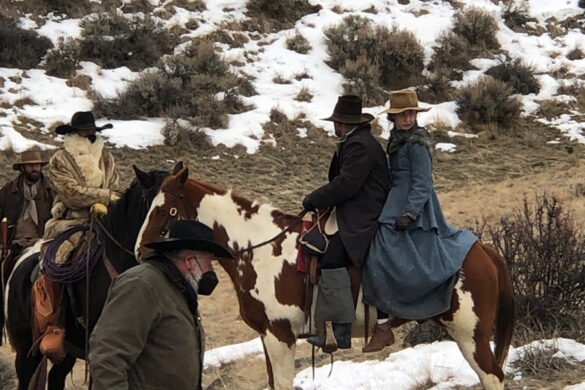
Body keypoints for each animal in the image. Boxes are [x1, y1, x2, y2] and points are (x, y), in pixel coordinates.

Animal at [135, 167, 512, 390]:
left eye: (164, 210)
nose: (140, 251)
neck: (260, 249)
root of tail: (483, 250)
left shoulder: (280, 336)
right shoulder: (266, 337)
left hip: (470, 335)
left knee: (492, 378)